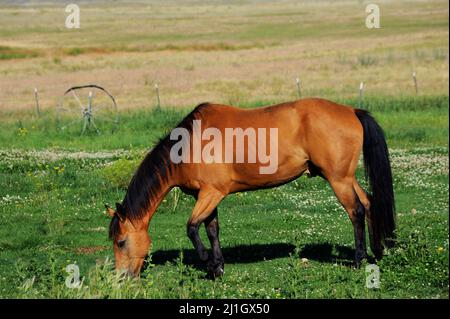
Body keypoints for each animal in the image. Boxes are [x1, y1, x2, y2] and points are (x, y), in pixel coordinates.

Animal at [105, 99, 394, 278]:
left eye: (121, 242)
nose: (122, 278)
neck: (190, 144)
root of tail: (351, 110)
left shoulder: (211, 194)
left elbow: (192, 228)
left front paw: (208, 261)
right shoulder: (207, 195)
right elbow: (211, 230)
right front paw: (217, 267)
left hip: (338, 179)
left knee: (356, 211)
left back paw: (358, 259)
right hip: (345, 177)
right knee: (368, 203)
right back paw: (377, 252)